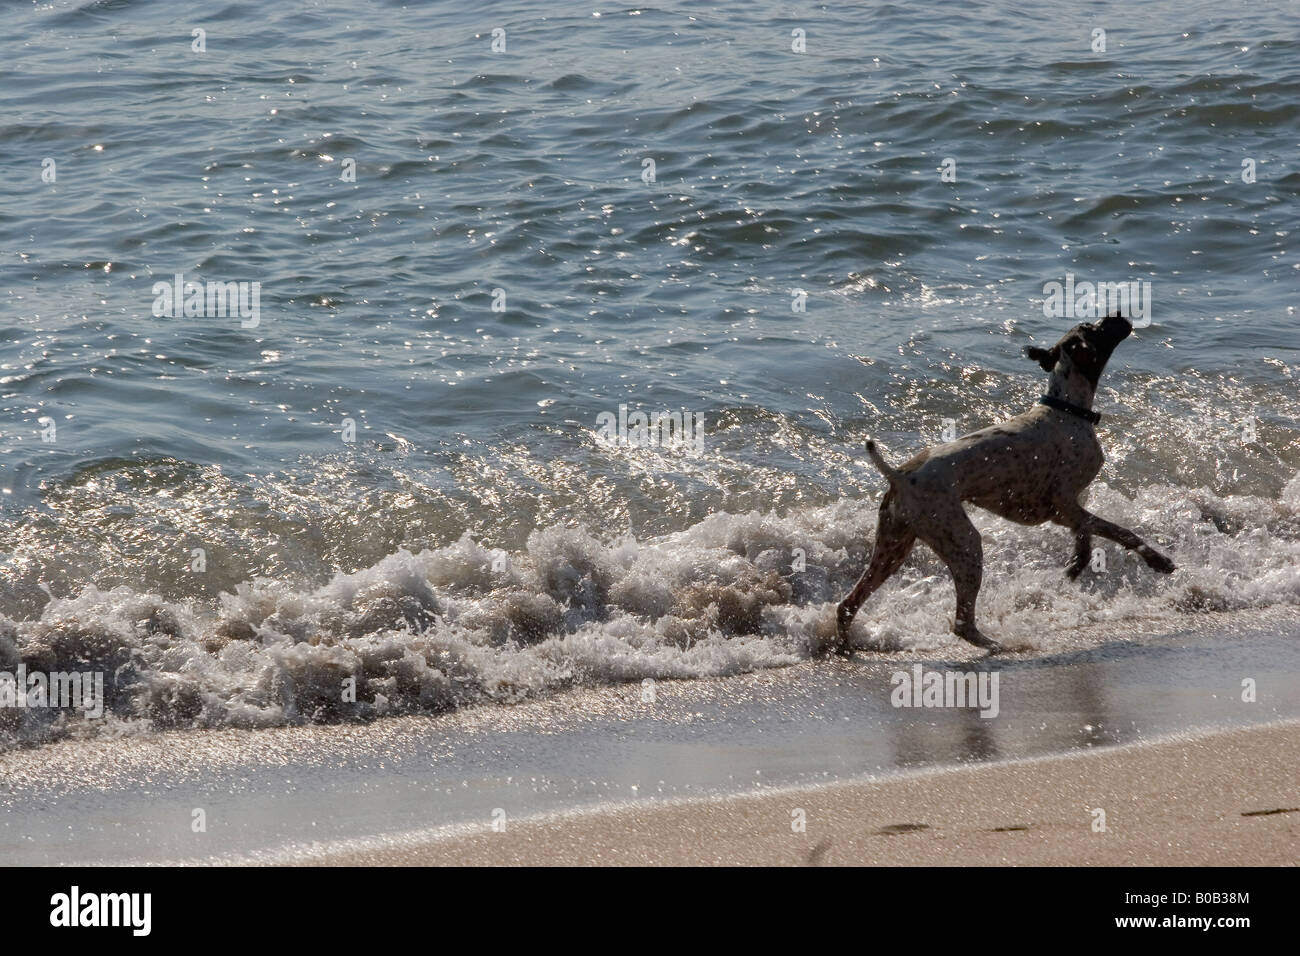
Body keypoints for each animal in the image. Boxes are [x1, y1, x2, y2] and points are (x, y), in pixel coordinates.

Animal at [832, 314, 1180, 658]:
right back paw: (999, 645)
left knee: (847, 604)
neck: (1066, 408)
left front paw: (1078, 563)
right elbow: (1121, 532)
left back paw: (844, 647)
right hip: (964, 545)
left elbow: (1087, 534)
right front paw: (1156, 561)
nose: (1118, 315)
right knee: (962, 623)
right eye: (1095, 329)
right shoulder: (1063, 504)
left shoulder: (1066, 510)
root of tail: (899, 476)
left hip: (892, 550)